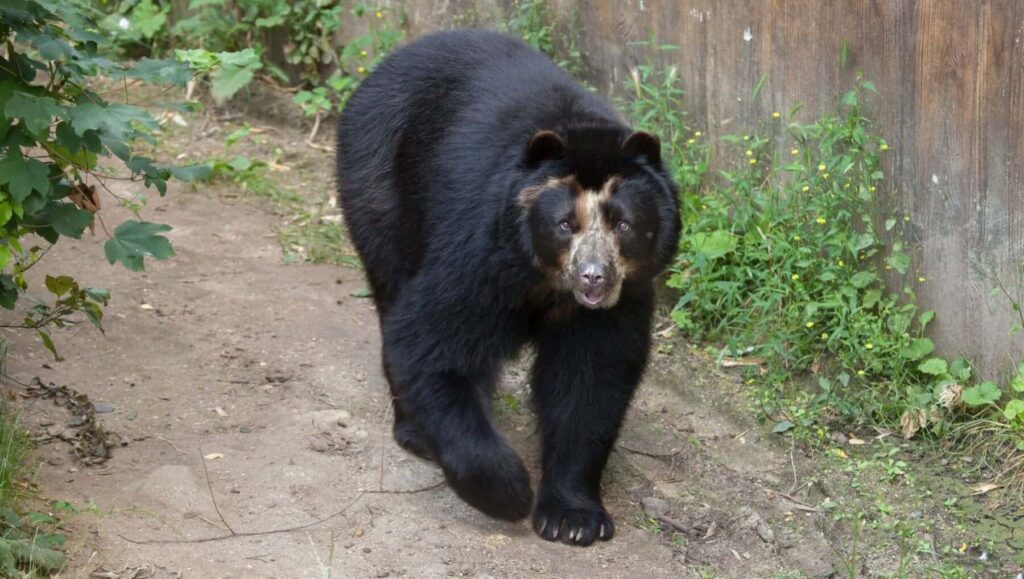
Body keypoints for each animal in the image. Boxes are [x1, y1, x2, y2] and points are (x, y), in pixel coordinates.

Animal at [335, 30, 684, 545]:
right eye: (565, 224)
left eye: (623, 224)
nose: (594, 277)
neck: (548, 283)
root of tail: (390, 60)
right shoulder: (481, 254)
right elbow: (432, 342)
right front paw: (510, 491)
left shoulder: (622, 299)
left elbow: (592, 378)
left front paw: (572, 518)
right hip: (379, 183)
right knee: (392, 288)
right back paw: (415, 431)